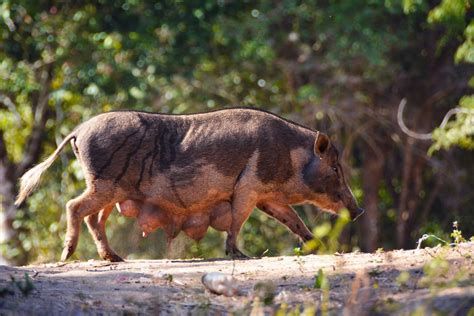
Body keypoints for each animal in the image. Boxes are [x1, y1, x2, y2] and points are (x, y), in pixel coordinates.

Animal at [14, 108, 362, 262]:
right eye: (335, 167)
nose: (357, 210)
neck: (291, 156)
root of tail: (79, 130)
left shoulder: (269, 196)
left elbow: (294, 220)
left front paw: (321, 248)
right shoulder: (249, 187)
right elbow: (237, 220)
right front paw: (239, 255)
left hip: (111, 190)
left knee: (93, 218)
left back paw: (115, 259)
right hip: (104, 184)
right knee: (74, 206)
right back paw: (66, 256)